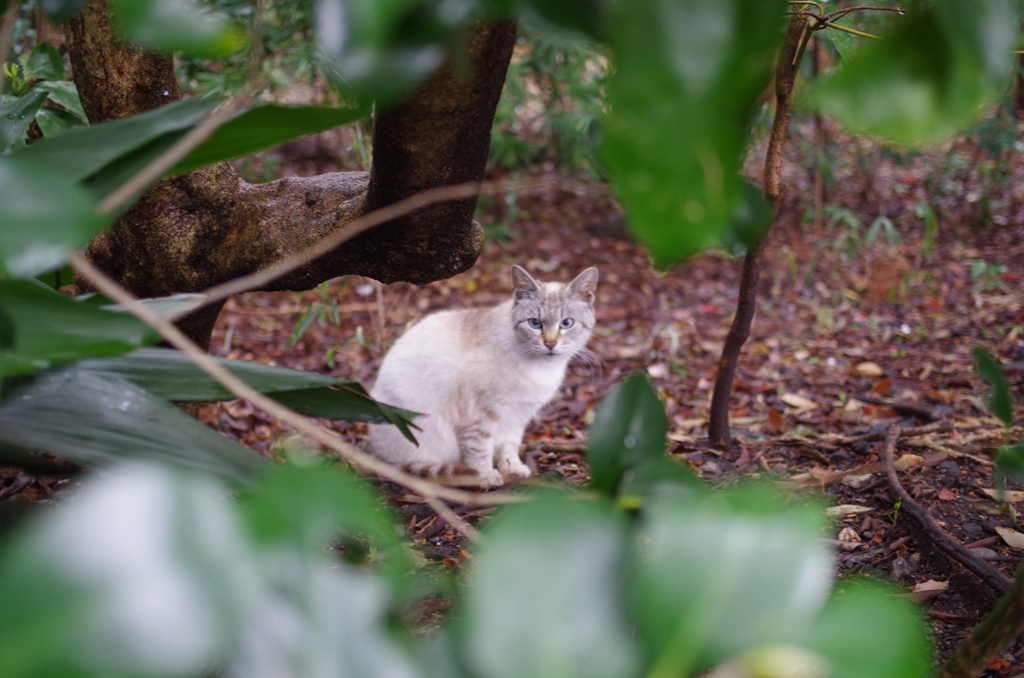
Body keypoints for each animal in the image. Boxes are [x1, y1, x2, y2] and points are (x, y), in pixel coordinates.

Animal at [368, 266, 598, 489]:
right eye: (535, 323)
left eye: (566, 323)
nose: (550, 343)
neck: (542, 369)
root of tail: (374, 453)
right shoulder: (478, 415)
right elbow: (480, 450)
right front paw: (486, 476)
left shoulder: (518, 415)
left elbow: (509, 446)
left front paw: (512, 469)